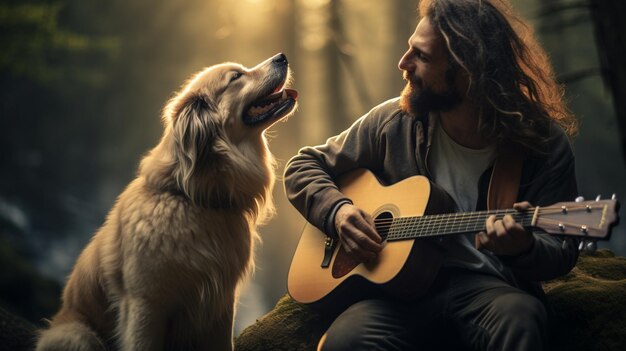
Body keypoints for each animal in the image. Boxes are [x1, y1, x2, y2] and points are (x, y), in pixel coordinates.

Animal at [36, 53, 298, 351]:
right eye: (236, 76)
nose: (282, 57)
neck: (189, 197)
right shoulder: (146, 305)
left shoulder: (221, 303)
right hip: (77, 334)